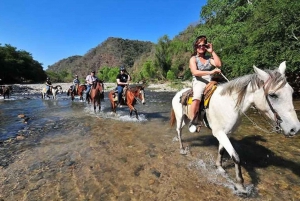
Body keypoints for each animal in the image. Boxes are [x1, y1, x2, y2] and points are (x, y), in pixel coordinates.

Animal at [170, 61, 298, 193]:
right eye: (273, 95)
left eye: (292, 92)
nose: (294, 129)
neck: (230, 104)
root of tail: (179, 93)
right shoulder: (219, 133)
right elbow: (236, 156)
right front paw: (240, 185)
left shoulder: (227, 133)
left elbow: (221, 150)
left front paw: (220, 167)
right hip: (180, 118)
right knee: (179, 131)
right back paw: (182, 149)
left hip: (186, 119)